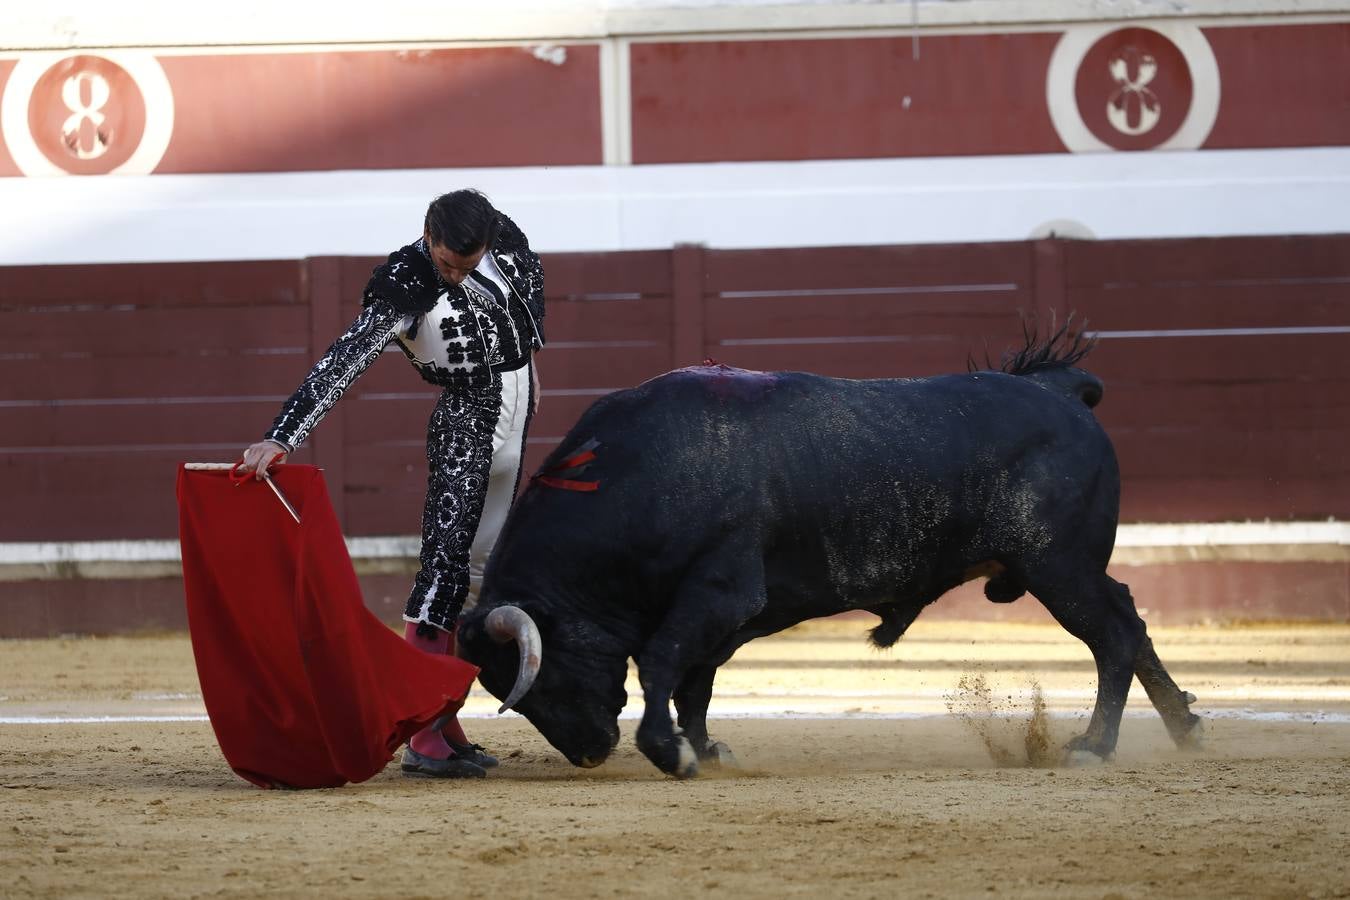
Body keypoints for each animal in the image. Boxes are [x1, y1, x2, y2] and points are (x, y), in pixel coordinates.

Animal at [456, 341, 1204, 777]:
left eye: (542, 678)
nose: (589, 752)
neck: (636, 478)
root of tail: (1059, 392)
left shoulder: (720, 592)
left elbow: (665, 660)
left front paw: (671, 752)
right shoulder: (727, 612)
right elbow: (698, 679)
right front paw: (707, 748)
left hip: (1059, 568)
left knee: (1112, 636)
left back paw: (1094, 746)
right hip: (1068, 570)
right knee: (1131, 623)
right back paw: (1186, 726)